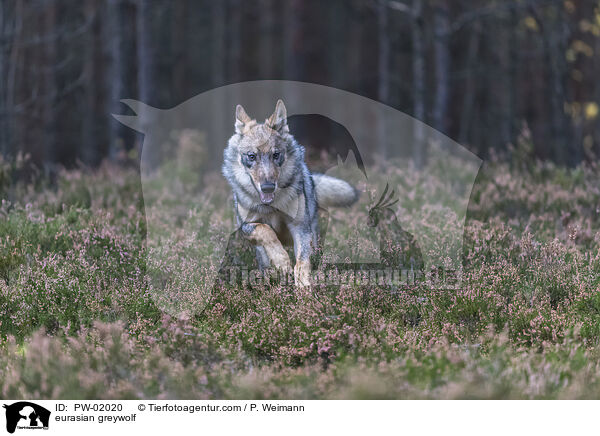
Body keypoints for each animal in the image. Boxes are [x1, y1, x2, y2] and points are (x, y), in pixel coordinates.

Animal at [223, 100, 358, 288]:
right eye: (251, 156)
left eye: (276, 155)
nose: (268, 187)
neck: (271, 207)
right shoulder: (246, 226)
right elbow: (266, 231)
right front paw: (282, 262)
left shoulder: (300, 227)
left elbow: (301, 262)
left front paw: (303, 286)